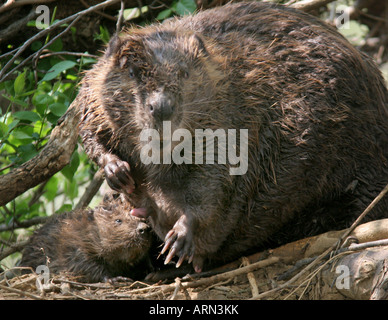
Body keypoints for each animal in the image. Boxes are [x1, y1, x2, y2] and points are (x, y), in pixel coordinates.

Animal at [20, 195, 152, 282]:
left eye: (144, 220)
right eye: (118, 220)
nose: (143, 228)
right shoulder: (72, 247)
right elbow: (83, 265)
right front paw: (116, 279)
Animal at [78, 2, 388, 272]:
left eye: (184, 73)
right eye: (131, 72)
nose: (162, 108)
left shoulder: (235, 116)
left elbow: (216, 180)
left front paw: (181, 236)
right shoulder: (93, 93)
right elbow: (88, 127)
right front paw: (117, 171)